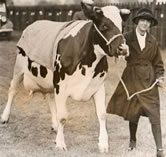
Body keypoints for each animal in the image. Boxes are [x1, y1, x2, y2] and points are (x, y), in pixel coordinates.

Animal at [0, 4, 130, 152]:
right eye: (103, 26)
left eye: (123, 26)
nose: (123, 49)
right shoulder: (61, 85)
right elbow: (62, 116)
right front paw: (60, 143)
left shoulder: (98, 85)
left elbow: (102, 114)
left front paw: (103, 144)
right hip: (19, 68)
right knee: (12, 90)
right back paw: (5, 117)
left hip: (48, 81)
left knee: (49, 98)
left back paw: (55, 125)